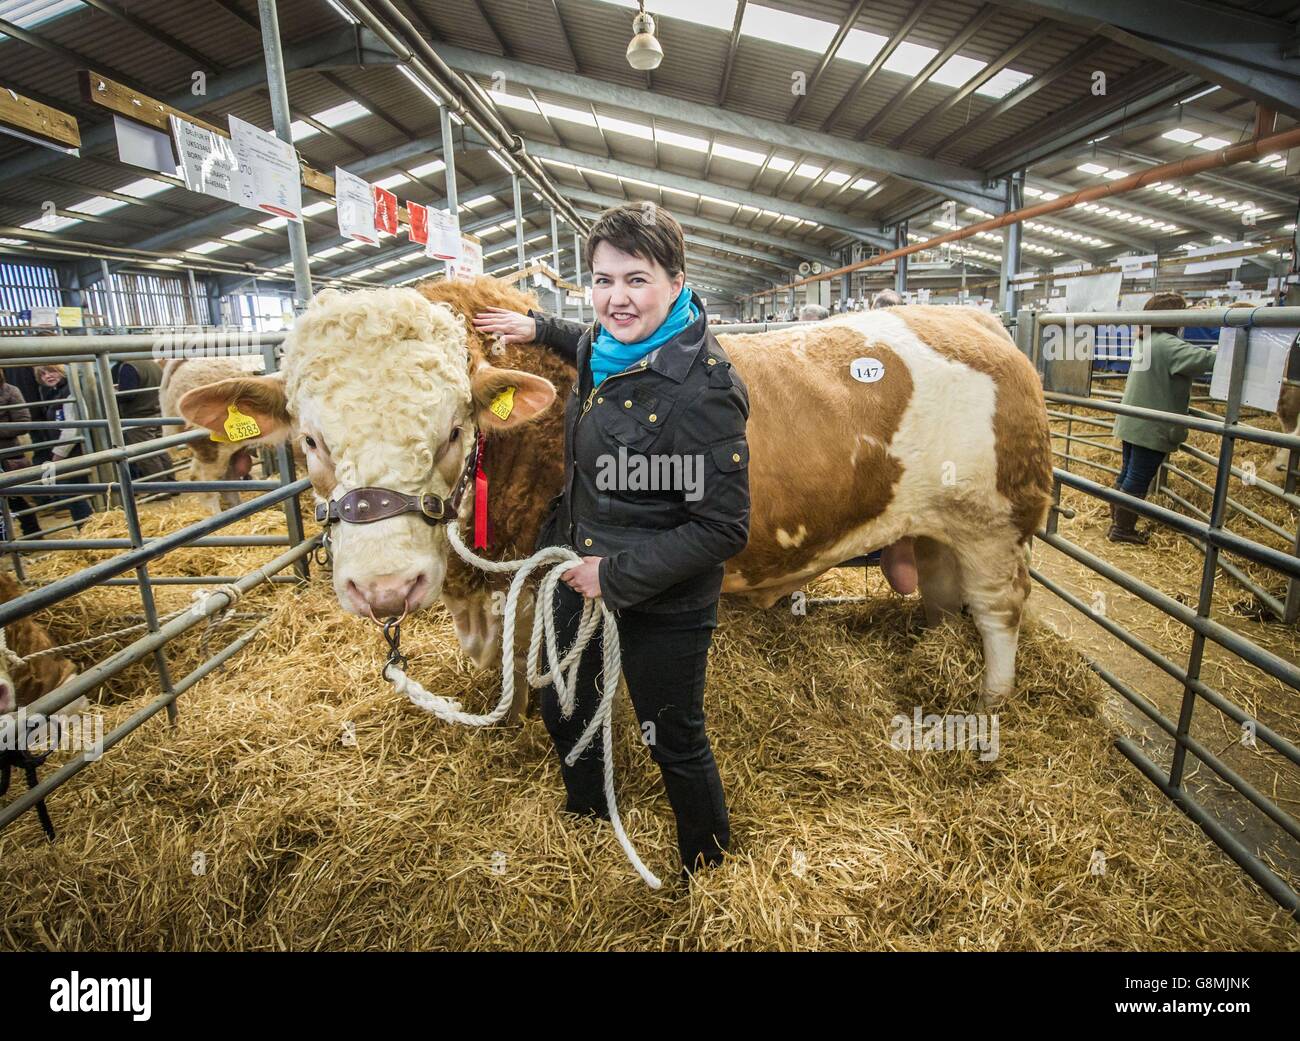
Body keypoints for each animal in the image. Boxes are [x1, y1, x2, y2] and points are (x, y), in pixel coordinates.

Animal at [178, 275, 1050, 706]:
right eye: (312, 440)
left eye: (454, 430)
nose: (386, 586)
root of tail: (977, 320)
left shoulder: (536, 579)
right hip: (936, 533)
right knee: (943, 598)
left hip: (992, 524)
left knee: (999, 612)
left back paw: (992, 696)